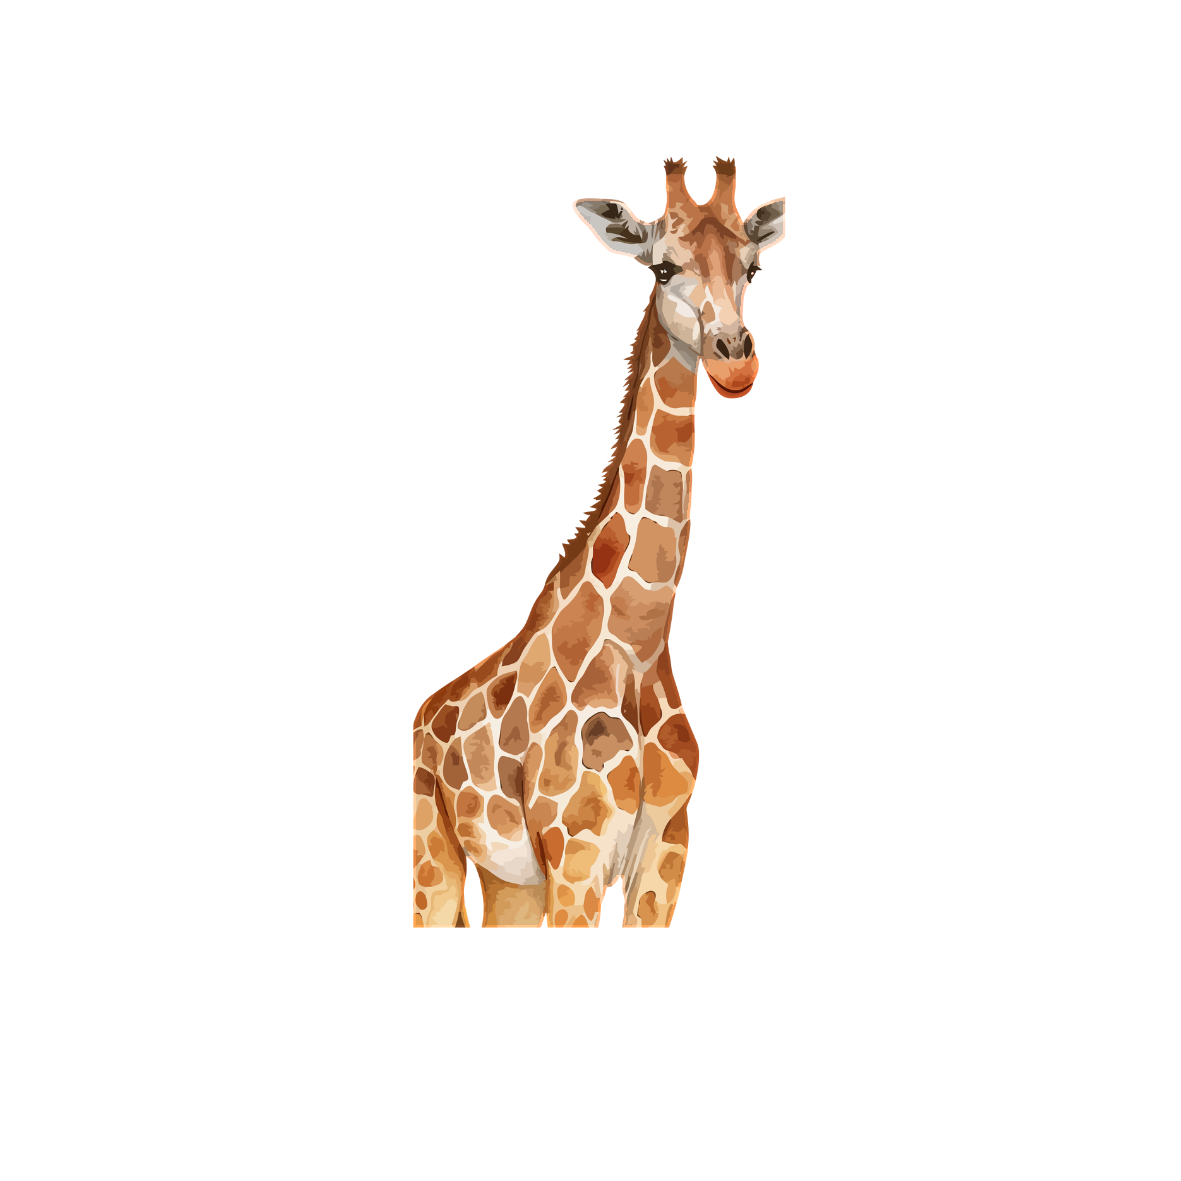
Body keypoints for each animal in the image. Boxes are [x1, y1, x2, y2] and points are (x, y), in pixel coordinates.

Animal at [412, 157, 785, 928]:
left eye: (753, 265)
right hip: (433, 853)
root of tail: (421, 715)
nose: (735, 363)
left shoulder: (665, 852)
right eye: (662, 266)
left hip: (509, 881)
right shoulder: (576, 856)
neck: (638, 642)